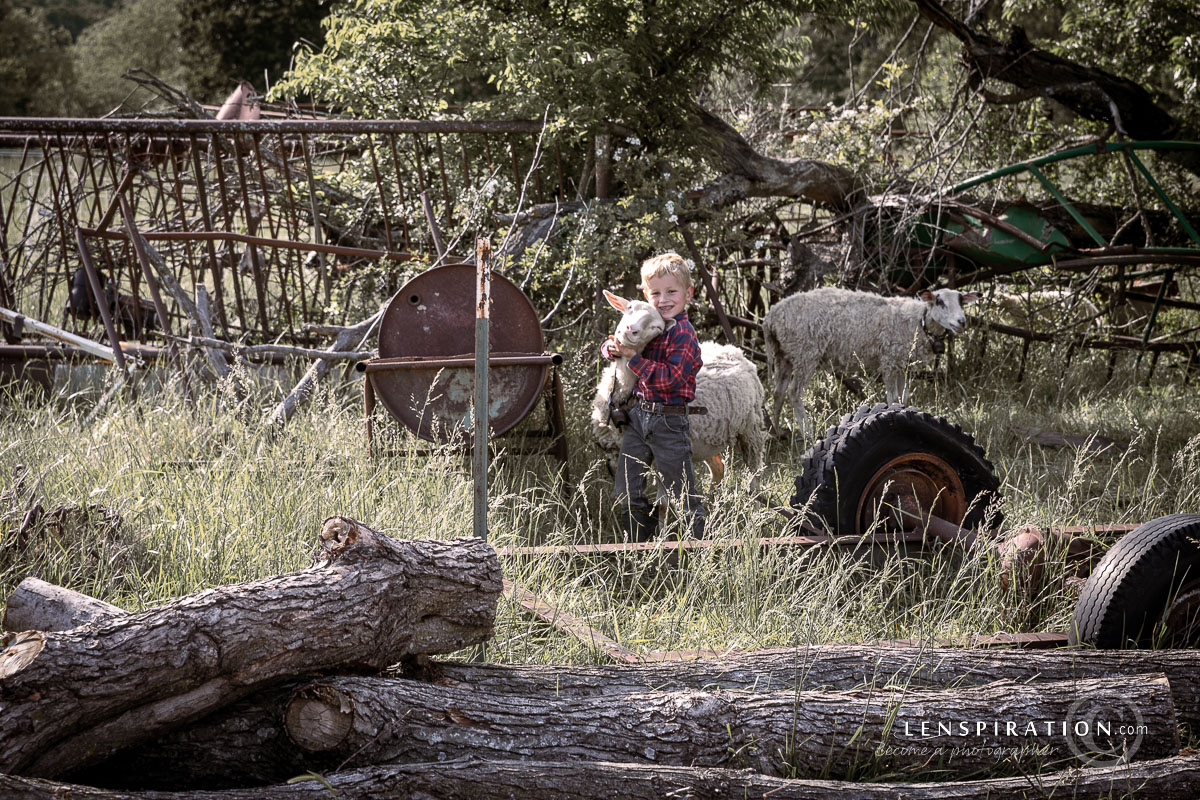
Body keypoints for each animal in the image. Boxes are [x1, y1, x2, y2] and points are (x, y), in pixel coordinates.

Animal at [591, 291, 766, 488]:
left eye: (657, 328)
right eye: (629, 308)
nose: (630, 330)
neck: (620, 400)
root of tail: (734, 351)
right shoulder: (615, 454)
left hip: (750, 429)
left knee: (754, 471)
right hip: (708, 440)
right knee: (718, 469)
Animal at [762, 287, 978, 435]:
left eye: (961, 301)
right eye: (940, 302)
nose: (962, 322)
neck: (919, 321)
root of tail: (772, 316)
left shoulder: (902, 364)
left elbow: (903, 397)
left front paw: (905, 413)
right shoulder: (890, 359)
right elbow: (892, 397)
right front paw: (894, 418)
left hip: (785, 355)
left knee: (778, 393)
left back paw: (777, 430)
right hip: (805, 352)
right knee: (794, 393)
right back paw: (807, 431)